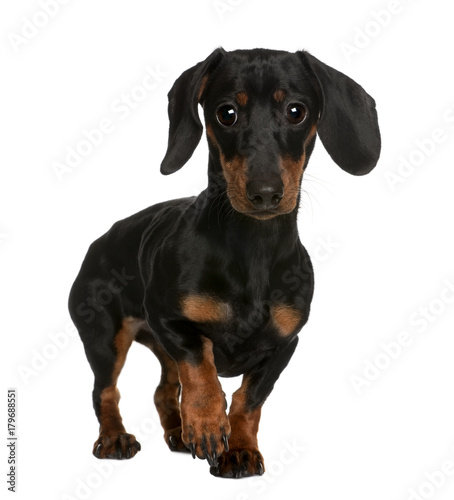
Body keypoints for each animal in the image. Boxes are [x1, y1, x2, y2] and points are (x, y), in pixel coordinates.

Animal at [67, 48, 380, 478]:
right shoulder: (170, 320)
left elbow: (249, 400)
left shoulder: (284, 345)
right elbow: (202, 366)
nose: (265, 193)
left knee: (164, 390)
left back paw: (178, 433)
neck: (253, 250)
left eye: (296, 111)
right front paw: (207, 424)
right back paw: (116, 437)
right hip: (104, 336)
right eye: (226, 113)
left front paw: (240, 449)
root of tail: (100, 240)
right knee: (106, 390)